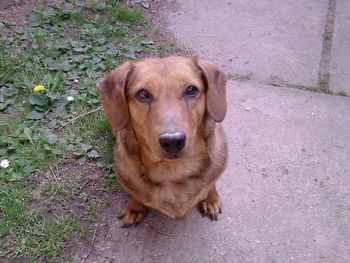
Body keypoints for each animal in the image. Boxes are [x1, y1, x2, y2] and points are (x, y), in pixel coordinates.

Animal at [97, 55, 228, 227]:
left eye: (191, 90)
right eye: (143, 94)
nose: (173, 141)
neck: (172, 170)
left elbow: (211, 185)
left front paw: (210, 199)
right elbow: (137, 195)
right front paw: (135, 208)